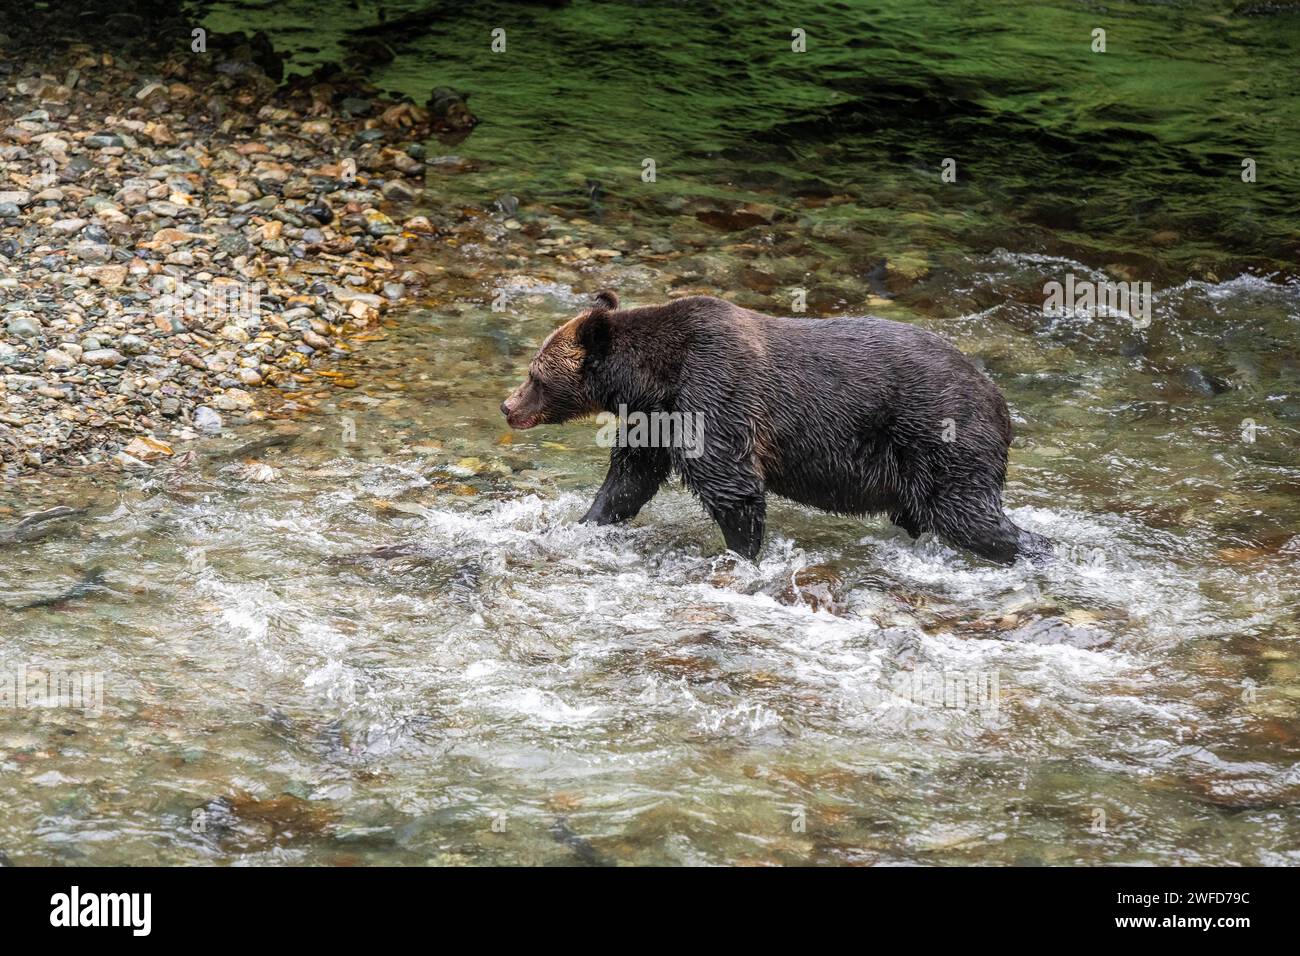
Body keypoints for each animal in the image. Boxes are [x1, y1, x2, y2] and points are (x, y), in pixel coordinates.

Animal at [501, 290, 1050, 561]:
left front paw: (742, 555)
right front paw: (583, 523)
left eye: (534, 374)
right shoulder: (655, 420)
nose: (507, 405)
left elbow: (730, 484)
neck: (655, 378)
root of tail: (998, 397)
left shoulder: (715, 391)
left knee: (969, 516)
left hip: (941, 436)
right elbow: (628, 480)